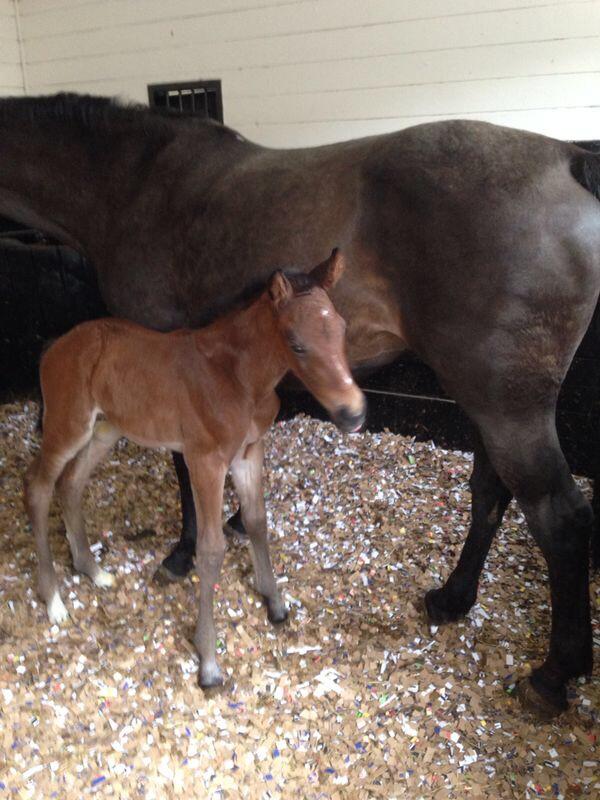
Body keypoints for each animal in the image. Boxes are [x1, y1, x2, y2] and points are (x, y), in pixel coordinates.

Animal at [24, 250, 365, 688]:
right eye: (296, 344)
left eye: (341, 328)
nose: (353, 413)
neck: (238, 378)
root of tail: (56, 344)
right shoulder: (205, 460)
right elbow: (211, 547)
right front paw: (209, 662)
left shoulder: (249, 451)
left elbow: (256, 520)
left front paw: (274, 603)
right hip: (67, 424)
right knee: (38, 486)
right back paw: (54, 601)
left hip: (105, 430)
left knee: (71, 482)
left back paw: (93, 571)